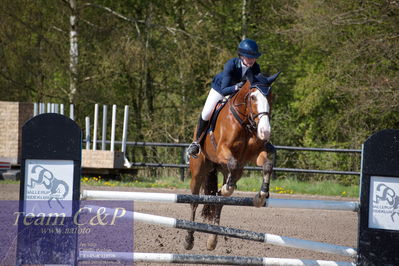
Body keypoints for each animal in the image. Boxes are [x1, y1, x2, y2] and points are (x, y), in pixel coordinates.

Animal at [185, 71, 282, 250]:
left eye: (270, 97)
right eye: (253, 97)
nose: (265, 131)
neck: (244, 122)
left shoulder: (255, 154)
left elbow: (267, 165)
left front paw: (261, 195)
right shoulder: (222, 150)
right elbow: (232, 163)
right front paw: (227, 188)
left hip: (231, 171)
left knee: (219, 200)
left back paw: (212, 240)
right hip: (198, 171)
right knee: (194, 202)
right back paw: (189, 239)